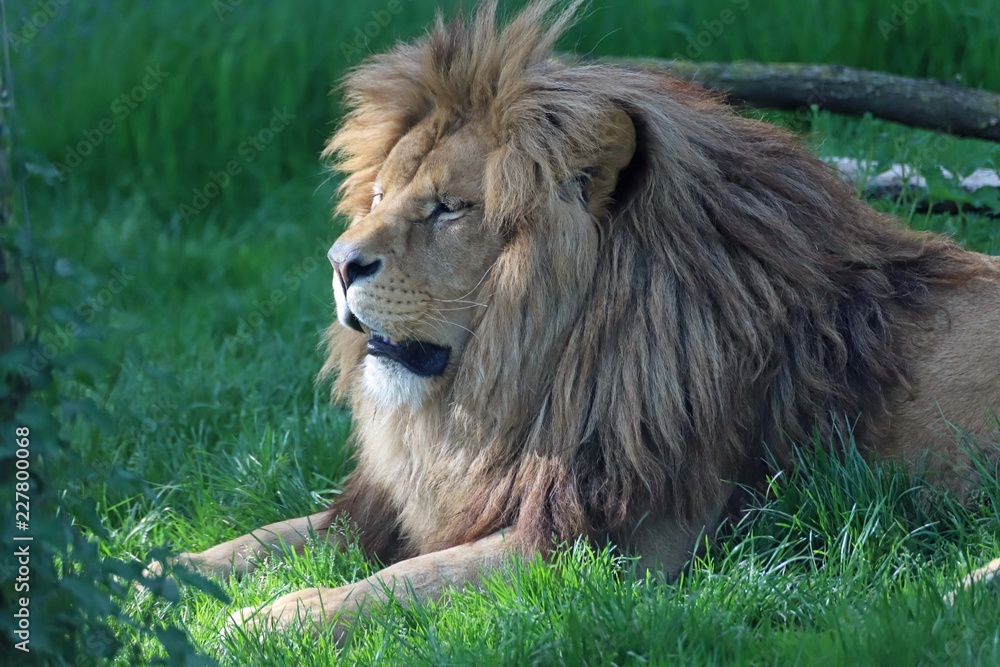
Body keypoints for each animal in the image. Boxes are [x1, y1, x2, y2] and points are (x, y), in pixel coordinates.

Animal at [166, 0, 1000, 636]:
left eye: (450, 208)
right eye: (378, 196)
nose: (340, 262)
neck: (519, 388)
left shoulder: (611, 541)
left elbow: (401, 582)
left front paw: (269, 618)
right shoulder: (416, 502)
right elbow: (270, 535)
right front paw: (164, 567)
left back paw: (959, 592)